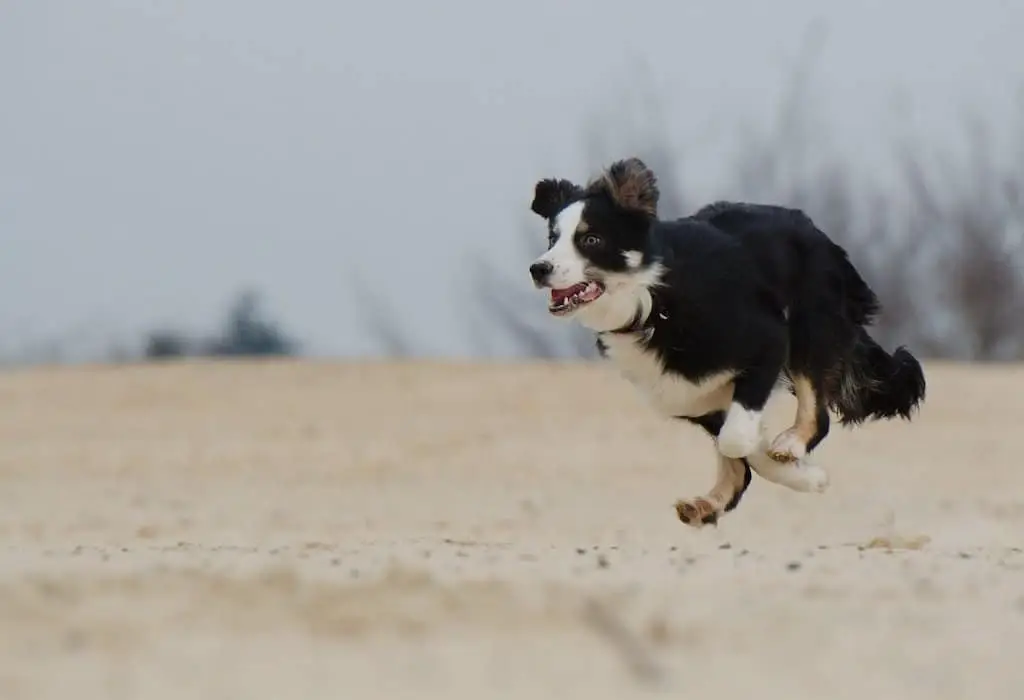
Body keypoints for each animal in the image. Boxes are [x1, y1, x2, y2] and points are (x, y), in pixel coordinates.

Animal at [528, 157, 929, 523]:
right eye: (552, 239)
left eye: (590, 239)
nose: (538, 269)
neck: (652, 303)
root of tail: (813, 229)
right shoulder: (684, 394)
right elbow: (739, 448)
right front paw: (804, 476)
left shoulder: (767, 342)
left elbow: (736, 439)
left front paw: (805, 473)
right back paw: (706, 504)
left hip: (809, 327)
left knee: (815, 411)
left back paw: (789, 444)